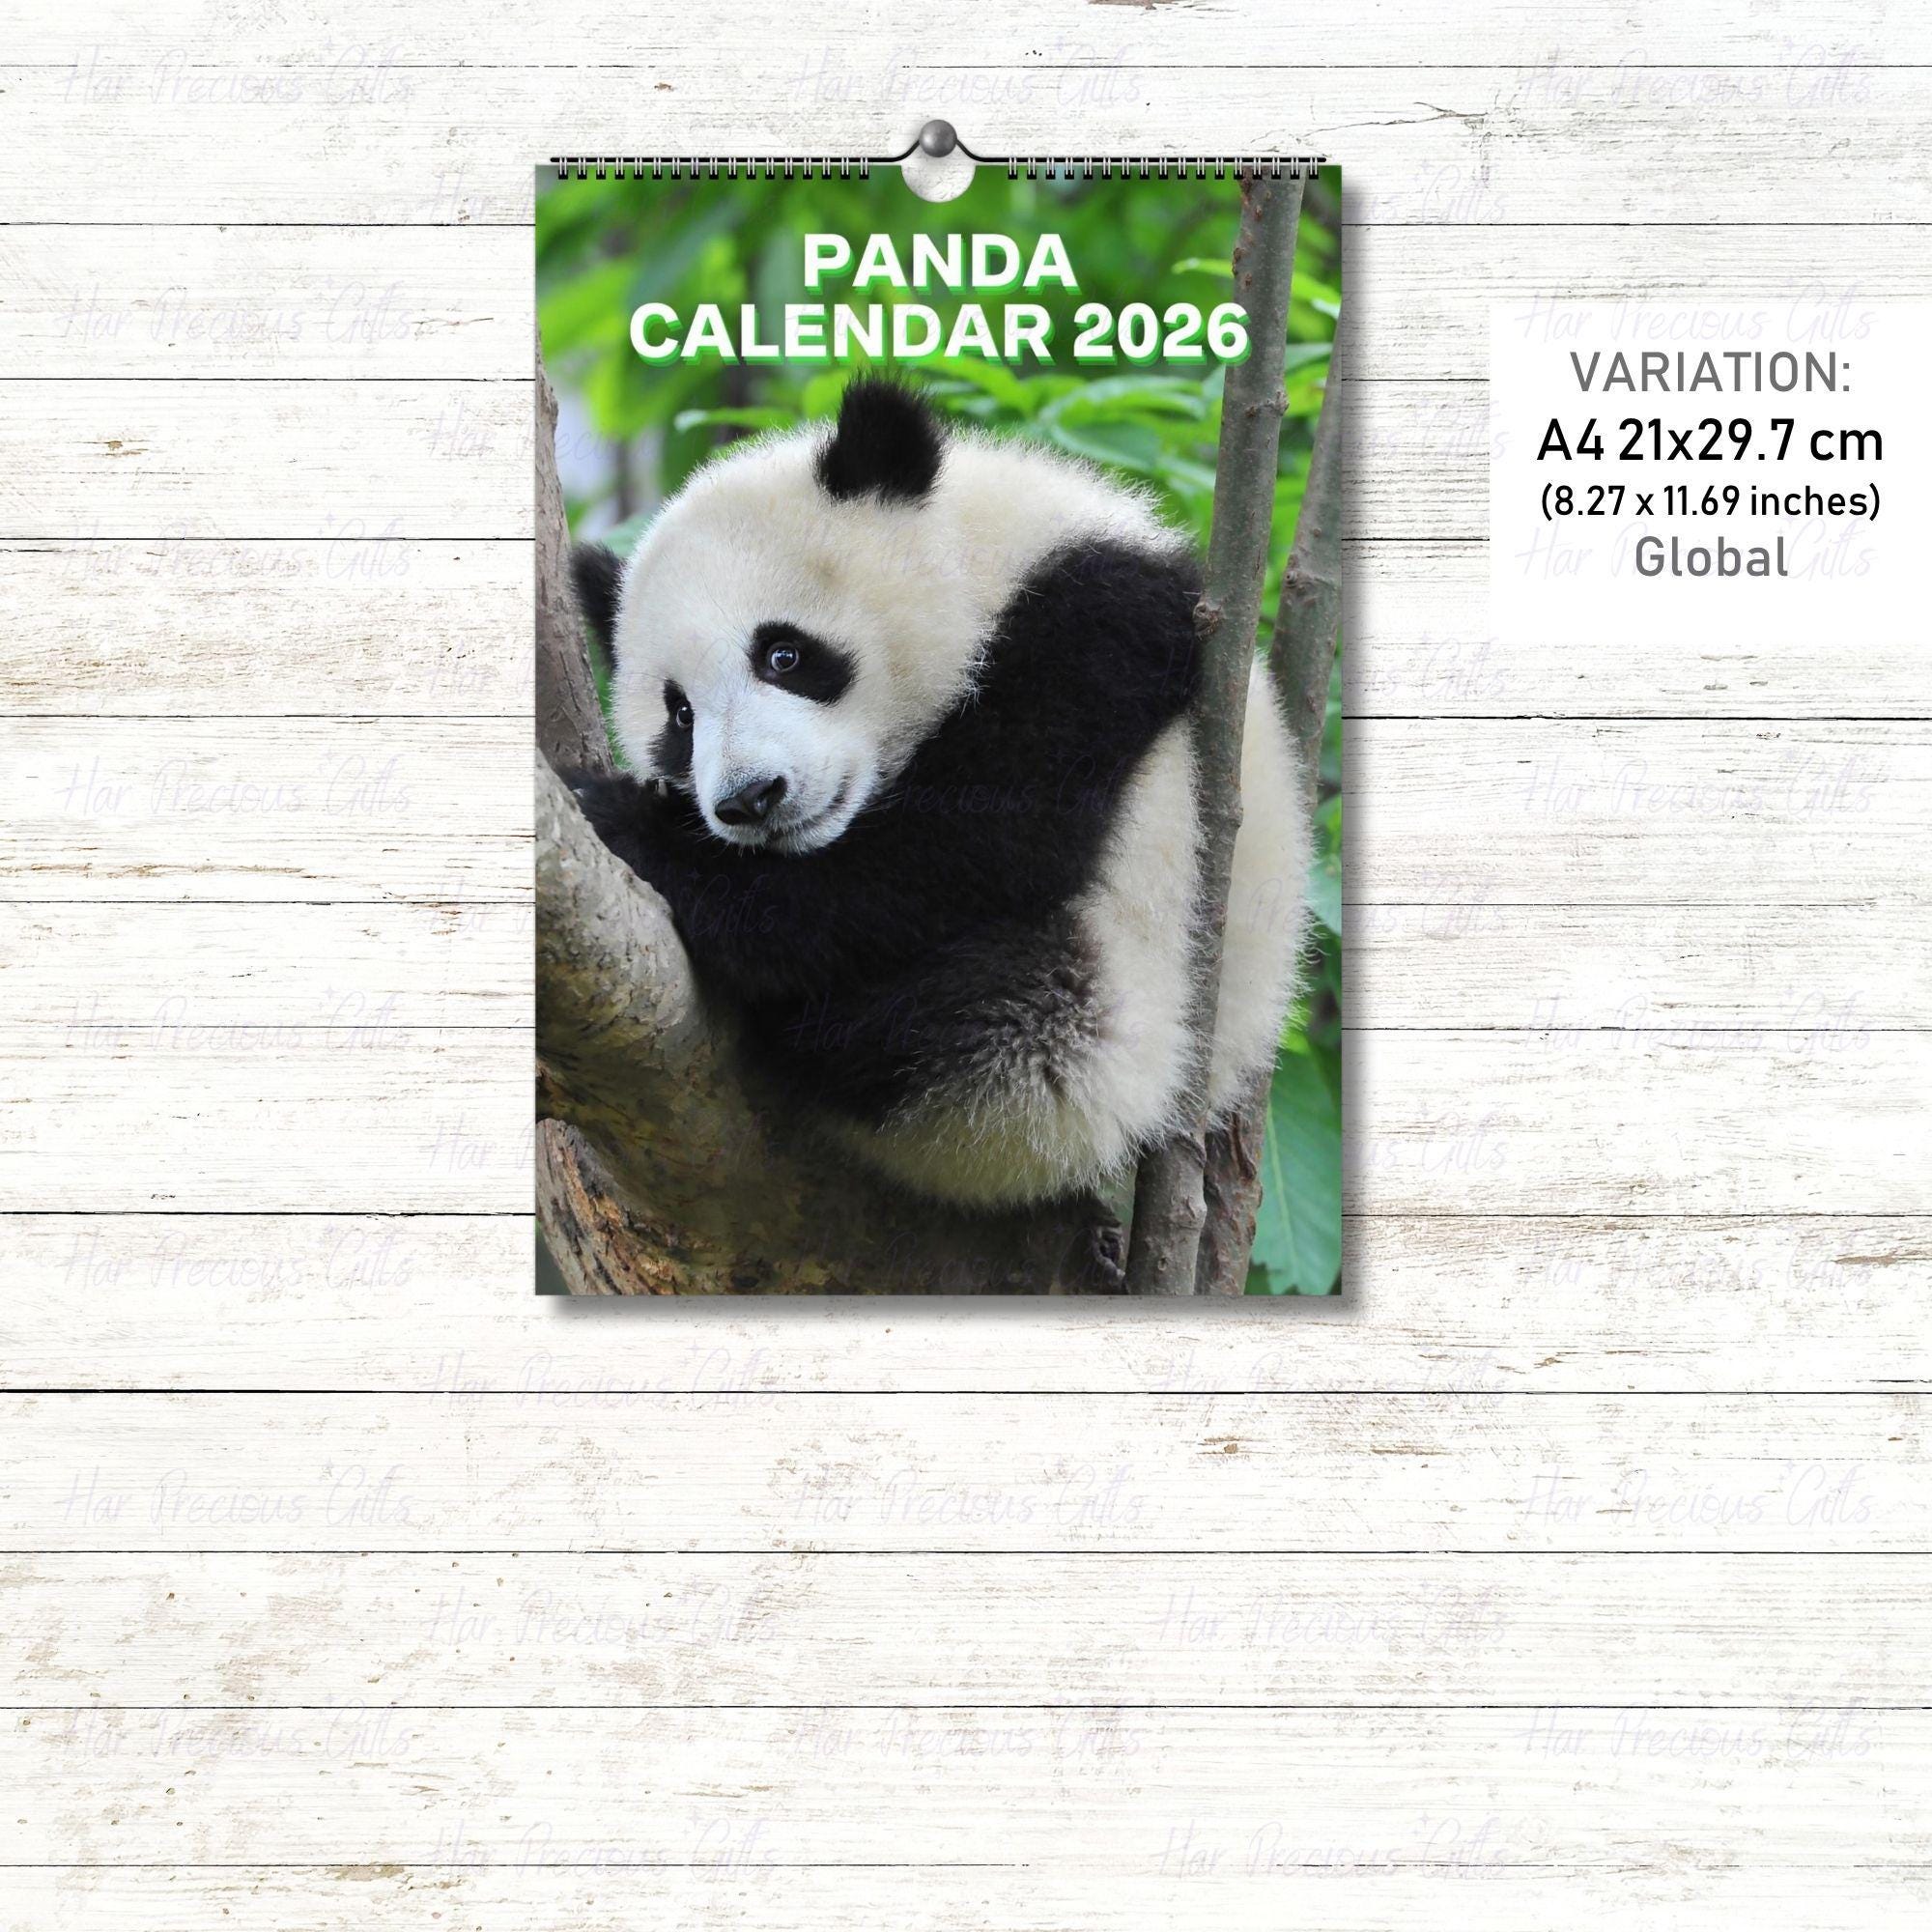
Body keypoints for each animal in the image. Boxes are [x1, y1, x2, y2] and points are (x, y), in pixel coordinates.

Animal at [568, 378, 1309, 1209]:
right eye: (681, 716)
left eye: (783, 654)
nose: (751, 800)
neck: (978, 557)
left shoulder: (1102, 618)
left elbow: (962, 851)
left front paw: (623, 817)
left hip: (1099, 1029)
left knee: (978, 1004)